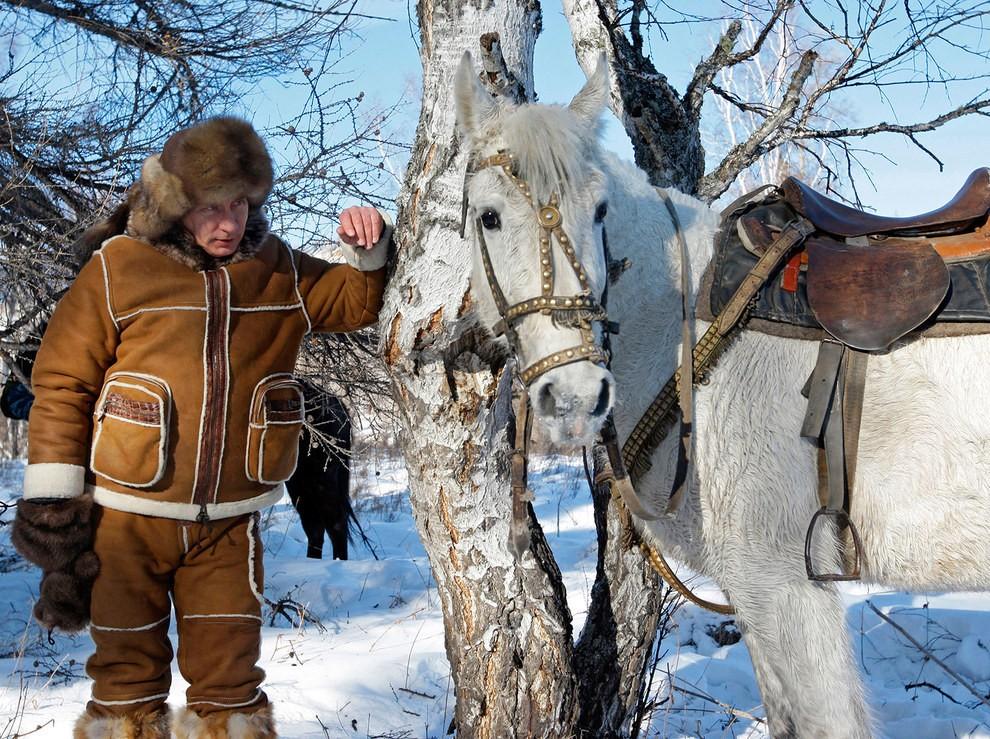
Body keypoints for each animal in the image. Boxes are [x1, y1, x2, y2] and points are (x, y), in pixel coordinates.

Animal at [456, 55, 990, 739]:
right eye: (489, 216)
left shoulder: (783, 584)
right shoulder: (758, 593)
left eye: (599, 211)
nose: (575, 394)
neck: (684, 325)